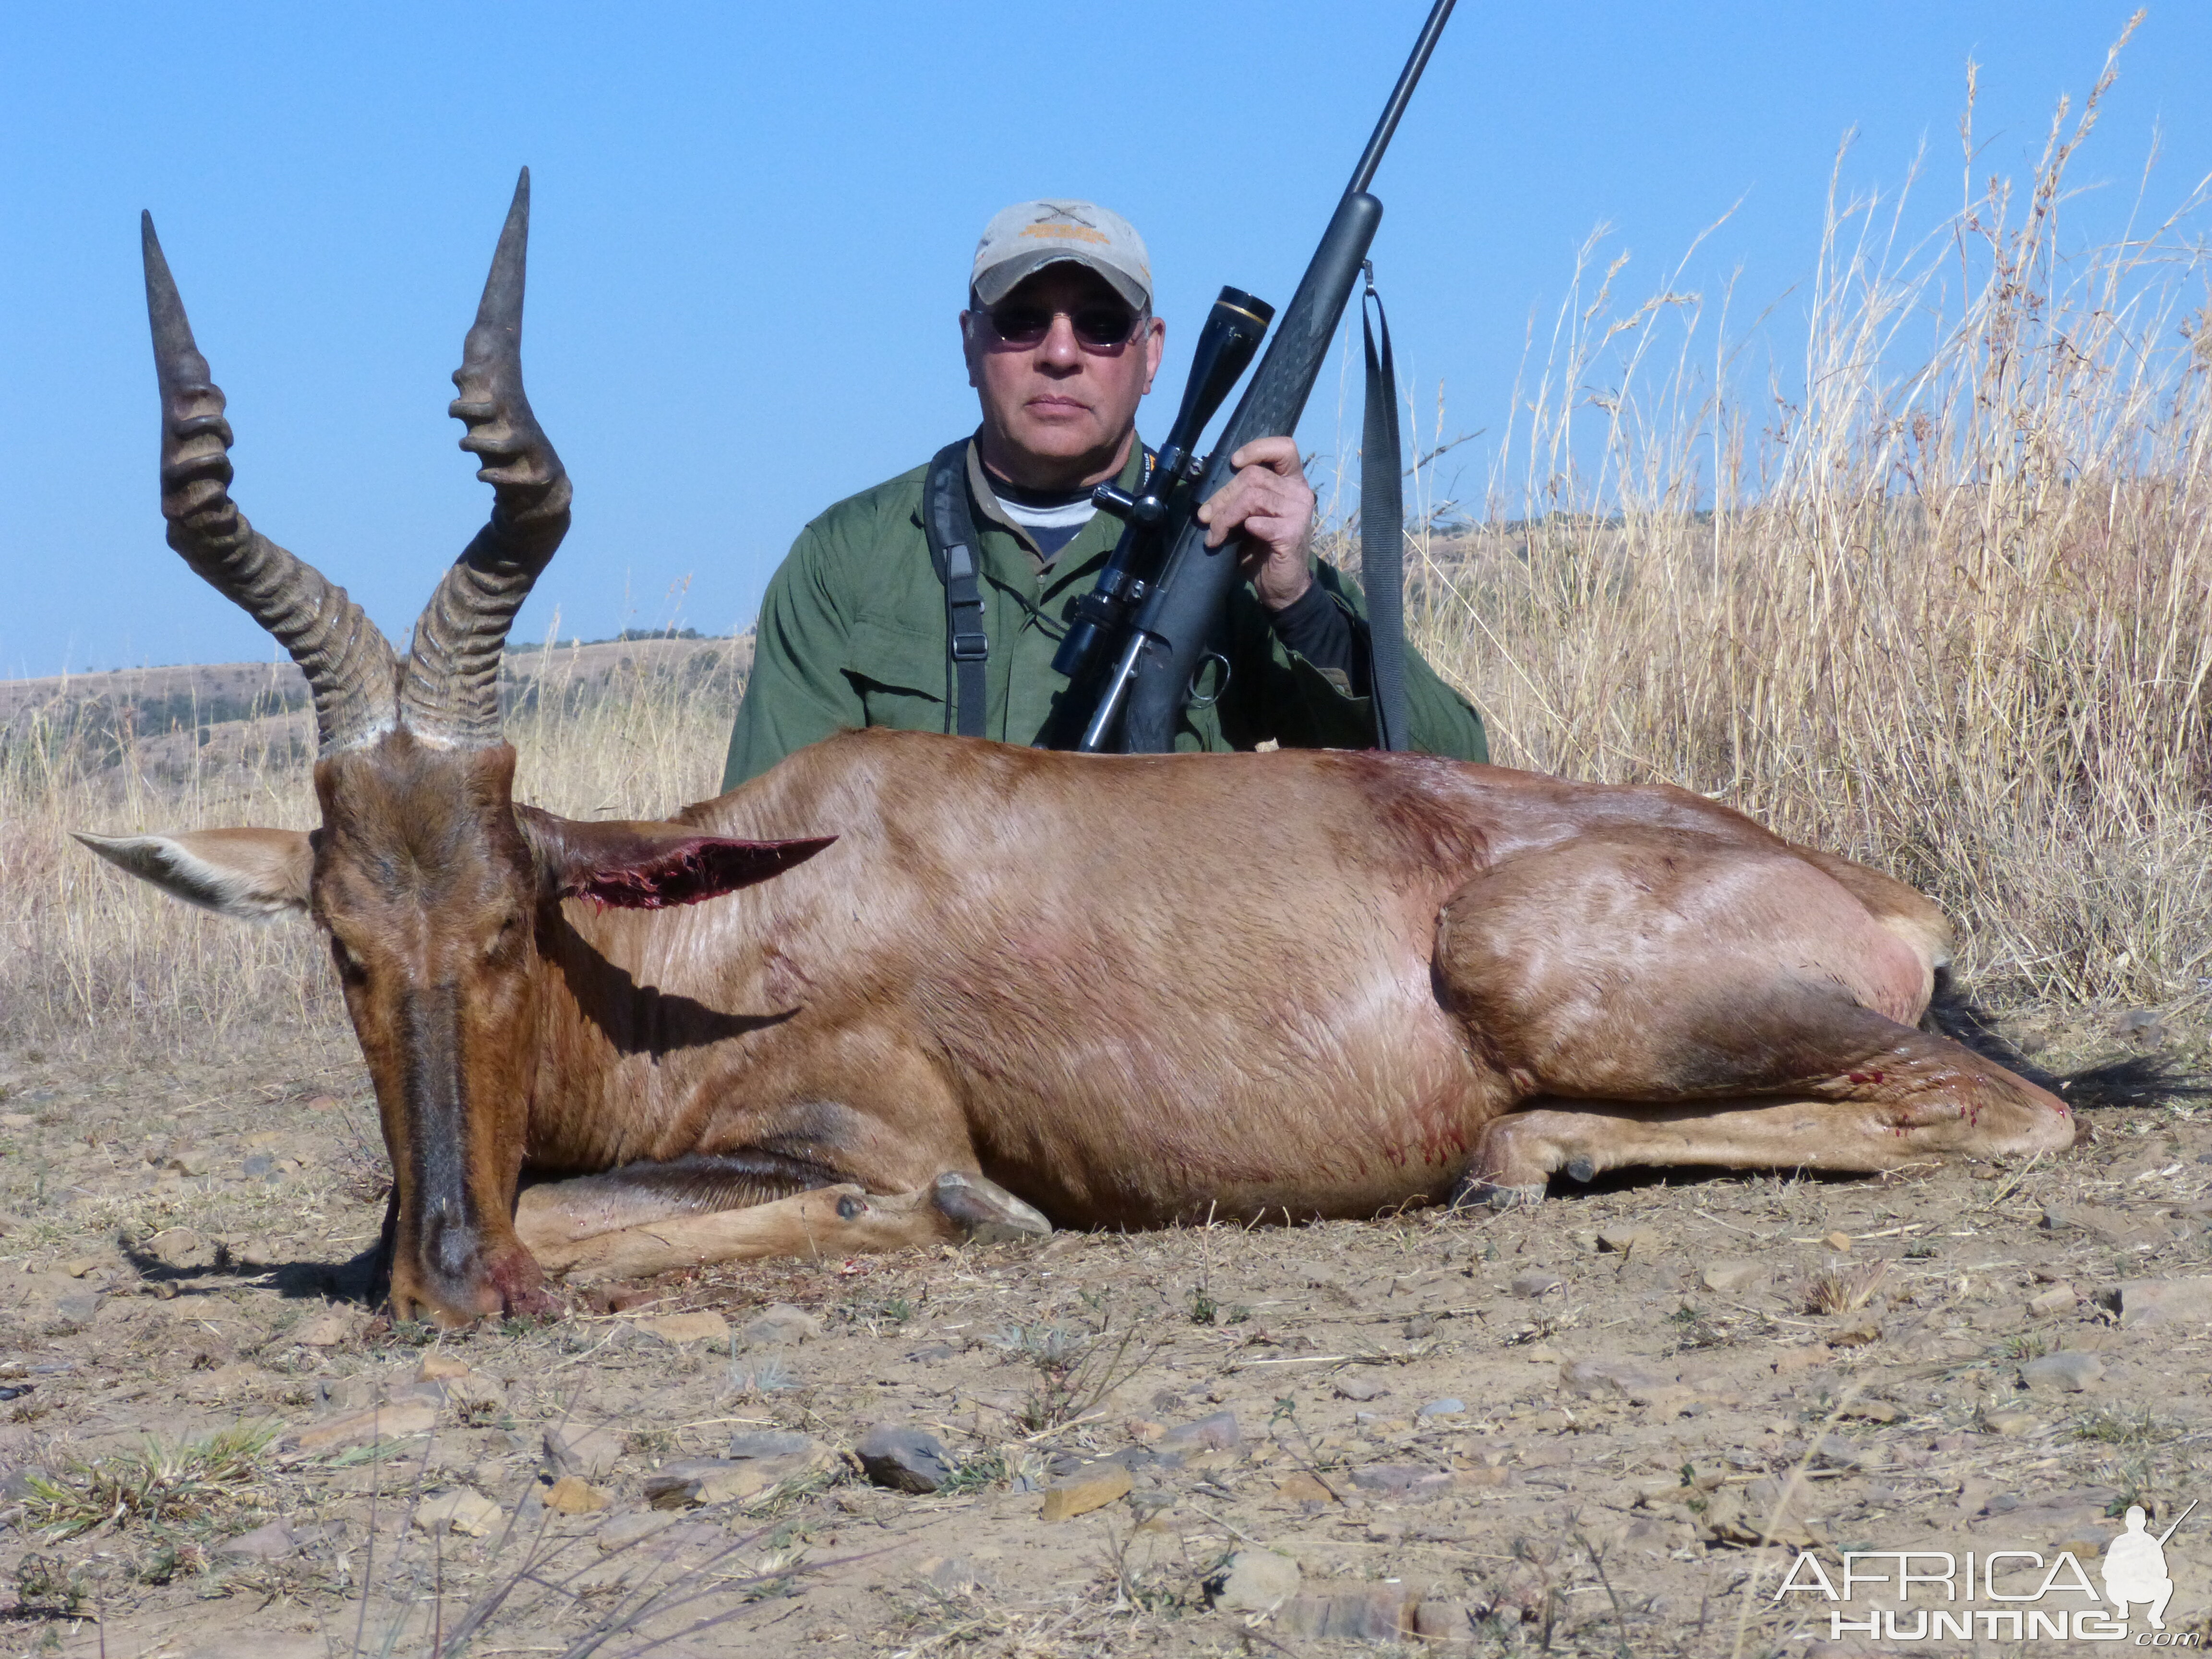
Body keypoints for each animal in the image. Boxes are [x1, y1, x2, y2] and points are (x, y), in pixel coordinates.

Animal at [73, 181, 2070, 1336]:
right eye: (342, 944)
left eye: (511, 921)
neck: (716, 914)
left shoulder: (858, 1128)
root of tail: (1869, 889)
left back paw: (1535, 1157)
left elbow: (667, 1209)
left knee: (2004, 1107)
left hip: (1547, 966)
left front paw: (961, 1216)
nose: (450, 1289)